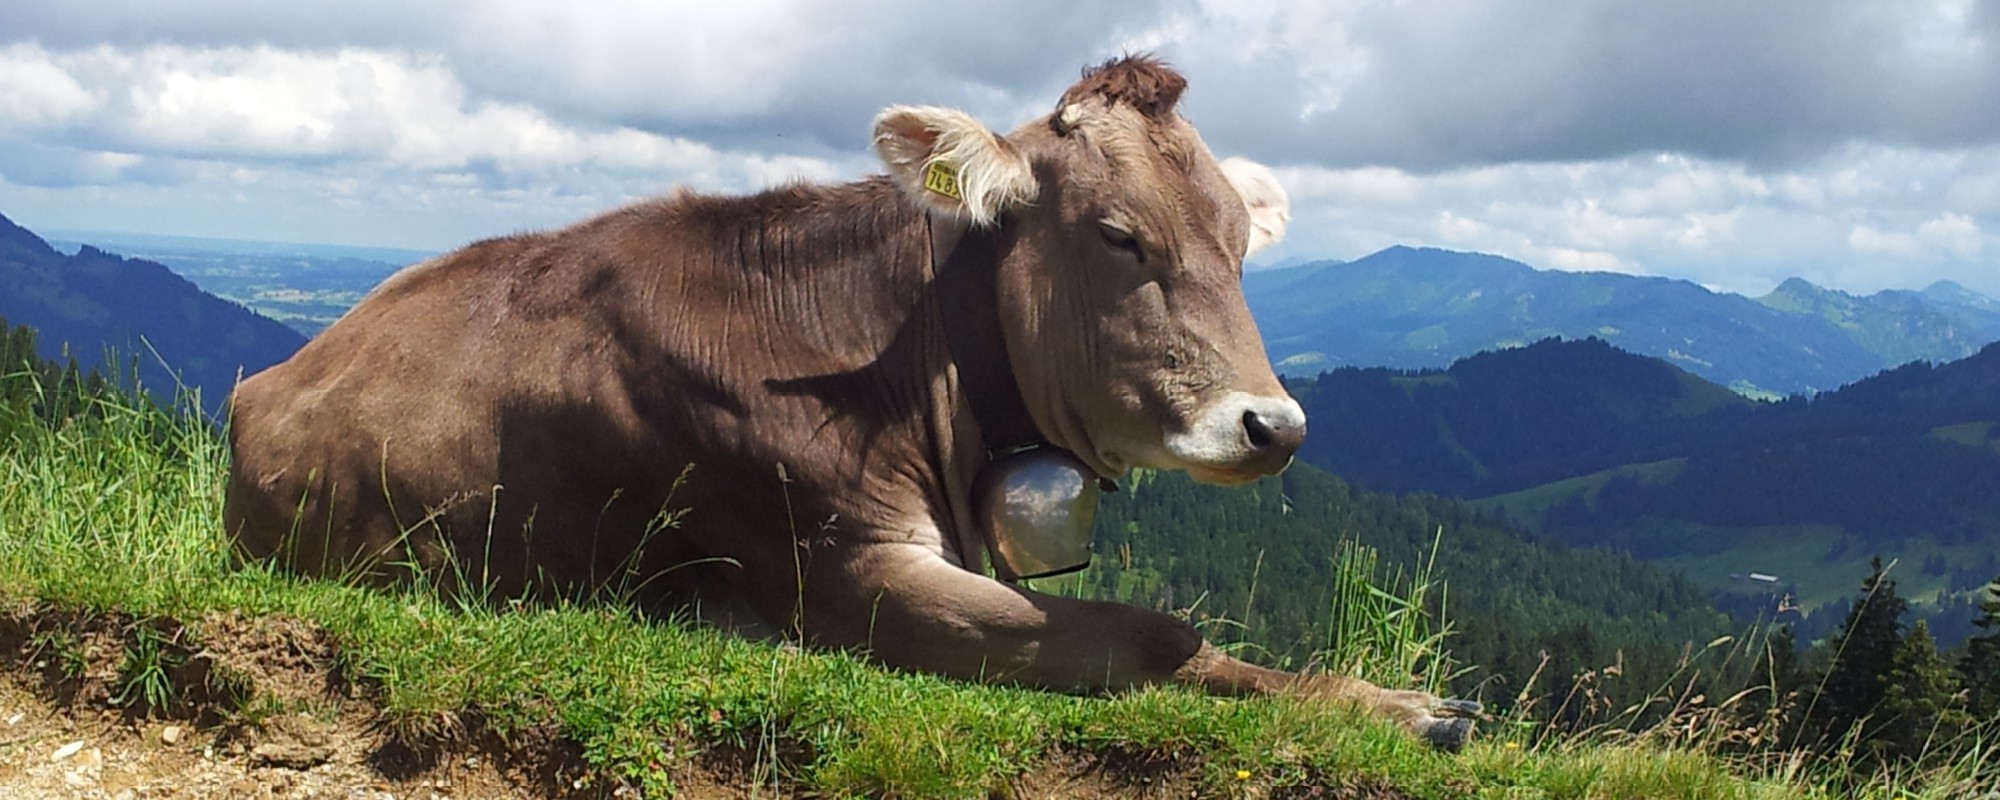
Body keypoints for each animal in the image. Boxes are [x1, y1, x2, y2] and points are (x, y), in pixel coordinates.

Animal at [225, 56, 1479, 750]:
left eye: (1237, 240)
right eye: (1119, 236)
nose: (1274, 425)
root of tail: (268, 381)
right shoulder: (846, 571)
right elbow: (1144, 631)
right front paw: (1394, 710)